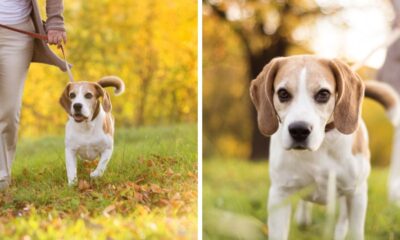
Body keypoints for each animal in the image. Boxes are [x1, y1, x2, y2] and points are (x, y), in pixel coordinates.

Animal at [250, 55, 400, 239]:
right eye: (283, 93)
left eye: (323, 94)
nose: (299, 130)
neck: (321, 145)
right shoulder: (280, 194)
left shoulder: (356, 194)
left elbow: (355, 232)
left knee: (342, 222)